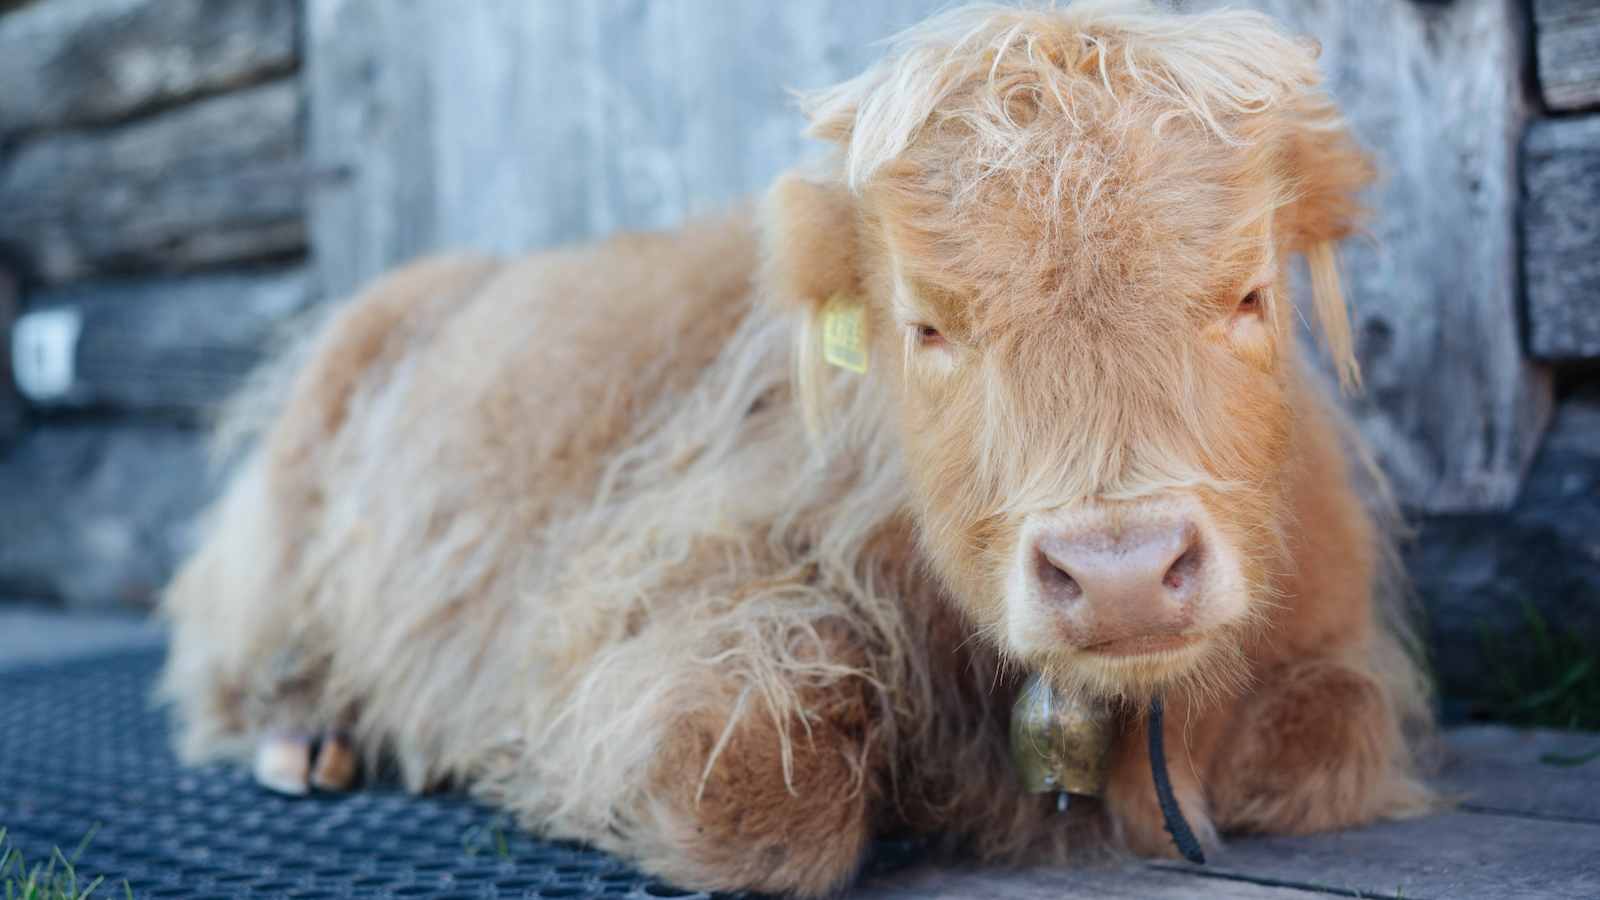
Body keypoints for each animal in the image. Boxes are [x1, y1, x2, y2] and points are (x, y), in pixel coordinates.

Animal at [162, 3, 1440, 890]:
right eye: (927, 324)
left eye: (1248, 295)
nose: (1119, 571)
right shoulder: (639, 591)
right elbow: (755, 796)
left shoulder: (1327, 675)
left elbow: (1317, 744)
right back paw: (306, 735)